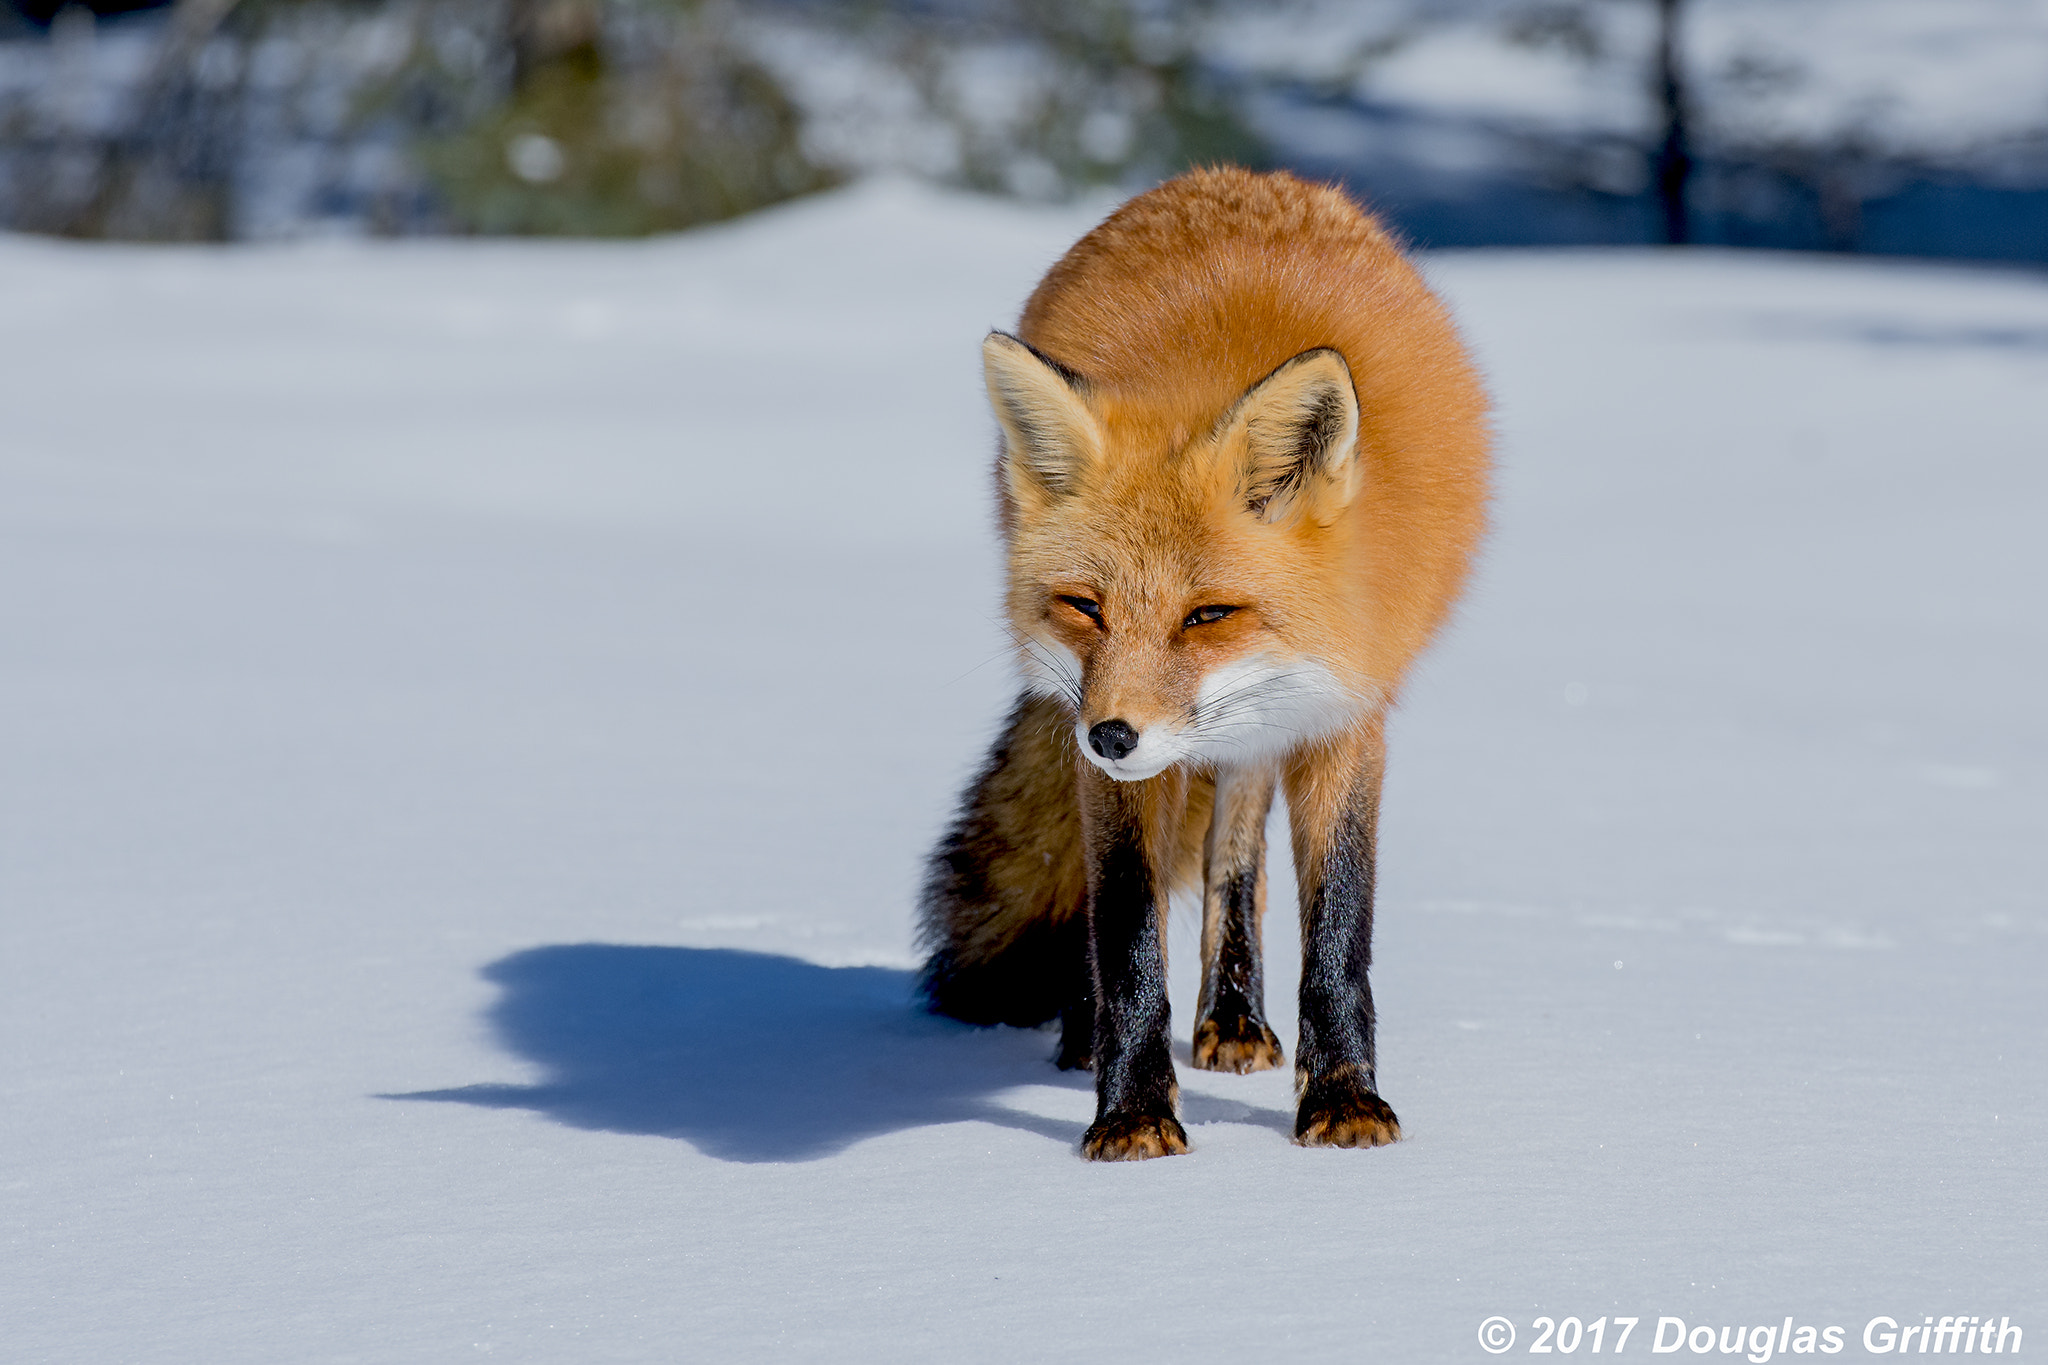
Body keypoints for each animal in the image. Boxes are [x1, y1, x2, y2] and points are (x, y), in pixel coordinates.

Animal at [919, 166, 1490, 1161]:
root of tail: (1241, 176)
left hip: (1257, 727)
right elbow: (1124, 924)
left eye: (1208, 615)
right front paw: (1132, 1109)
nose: (1110, 736)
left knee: (1237, 858)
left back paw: (1233, 1017)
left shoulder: (1346, 713)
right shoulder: (1115, 760)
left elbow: (1338, 927)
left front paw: (1344, 1098)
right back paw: (1088, 1036)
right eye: (1086, 605)